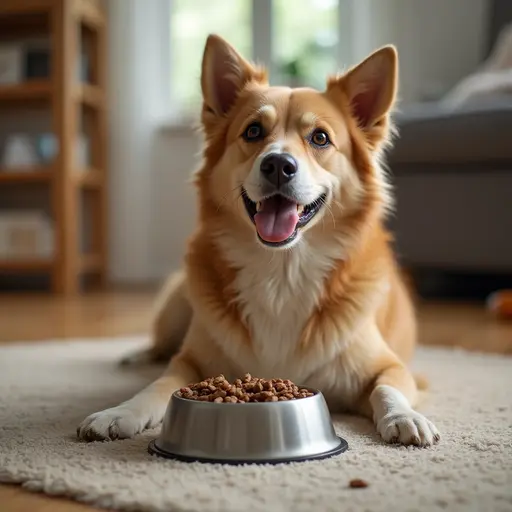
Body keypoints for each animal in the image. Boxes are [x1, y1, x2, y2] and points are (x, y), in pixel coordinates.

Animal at [77, 34, 440, 446]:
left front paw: (404, 416)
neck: (281, 270)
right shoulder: (189, 364)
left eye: (320, 138)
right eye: (252, 131)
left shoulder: (391, 367)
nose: (278, 165)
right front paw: (120, 412)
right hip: (177, 303)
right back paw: (138, 356)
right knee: (159, 347)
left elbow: (388, 388)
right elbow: (158, 386)